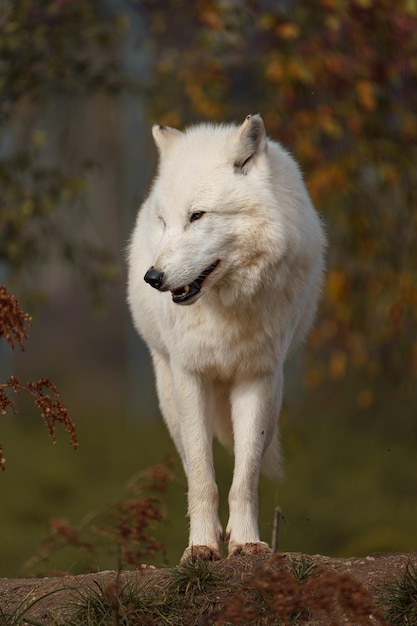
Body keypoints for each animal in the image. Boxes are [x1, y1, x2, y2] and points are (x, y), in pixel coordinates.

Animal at [127, 112, 324, 560]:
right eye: (165, 222)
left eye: (197, 216)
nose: (153, 277)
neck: (225, 308)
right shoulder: (190, 376)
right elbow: (203, 477)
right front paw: (201, 547)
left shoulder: (257, 379)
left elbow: (245, 477)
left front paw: (246, 543)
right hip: (169, 397)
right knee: (189, 460)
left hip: (275, 396)